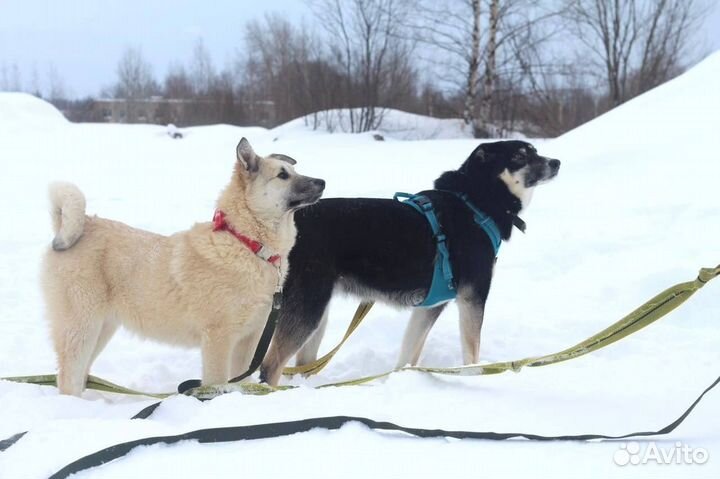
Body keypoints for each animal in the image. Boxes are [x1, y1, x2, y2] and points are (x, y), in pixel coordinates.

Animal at [43, 137, 324, 396]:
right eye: (282, 175)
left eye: (294, 170)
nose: (322, 182)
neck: (246, 243)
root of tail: (81, 224)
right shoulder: (218, 337)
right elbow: (217, 382)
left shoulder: (249, 339)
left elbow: (240, 381)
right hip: (82, 328)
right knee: (68, 376)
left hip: (102, 329)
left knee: (80, 375)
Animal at [262, 140, 560, 386]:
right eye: (520, 156)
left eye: (534, 151)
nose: (556, 162)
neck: (475, 204)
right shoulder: (473, 296)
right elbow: (471, 352)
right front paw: (477, 376)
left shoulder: (431, 305)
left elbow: (408, 353)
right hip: (308, 307)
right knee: (270, 366)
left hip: (316, 312)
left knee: (302, 365)